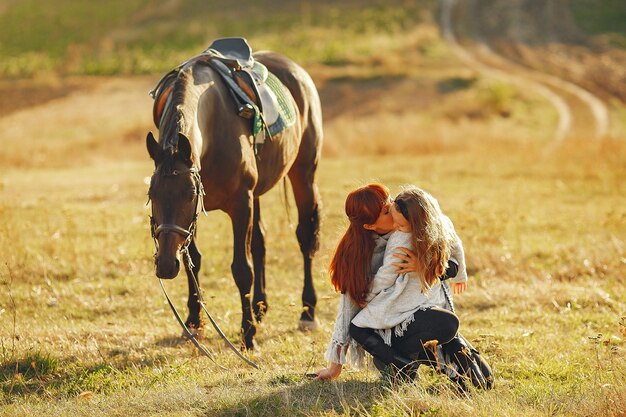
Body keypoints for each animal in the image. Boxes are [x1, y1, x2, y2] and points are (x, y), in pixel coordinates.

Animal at [146, 49, 322, 348]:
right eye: (151, 194)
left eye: (189, 194)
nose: (166, 266)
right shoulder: (195, 219)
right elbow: (194, 260)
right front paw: (193, 322)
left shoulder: (240, 204)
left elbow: (241, 268)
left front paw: (248, 332)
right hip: (258, 194)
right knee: (261, 240)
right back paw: (260, 307)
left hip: (303, 174)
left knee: (304, 237)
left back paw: (307, 312)